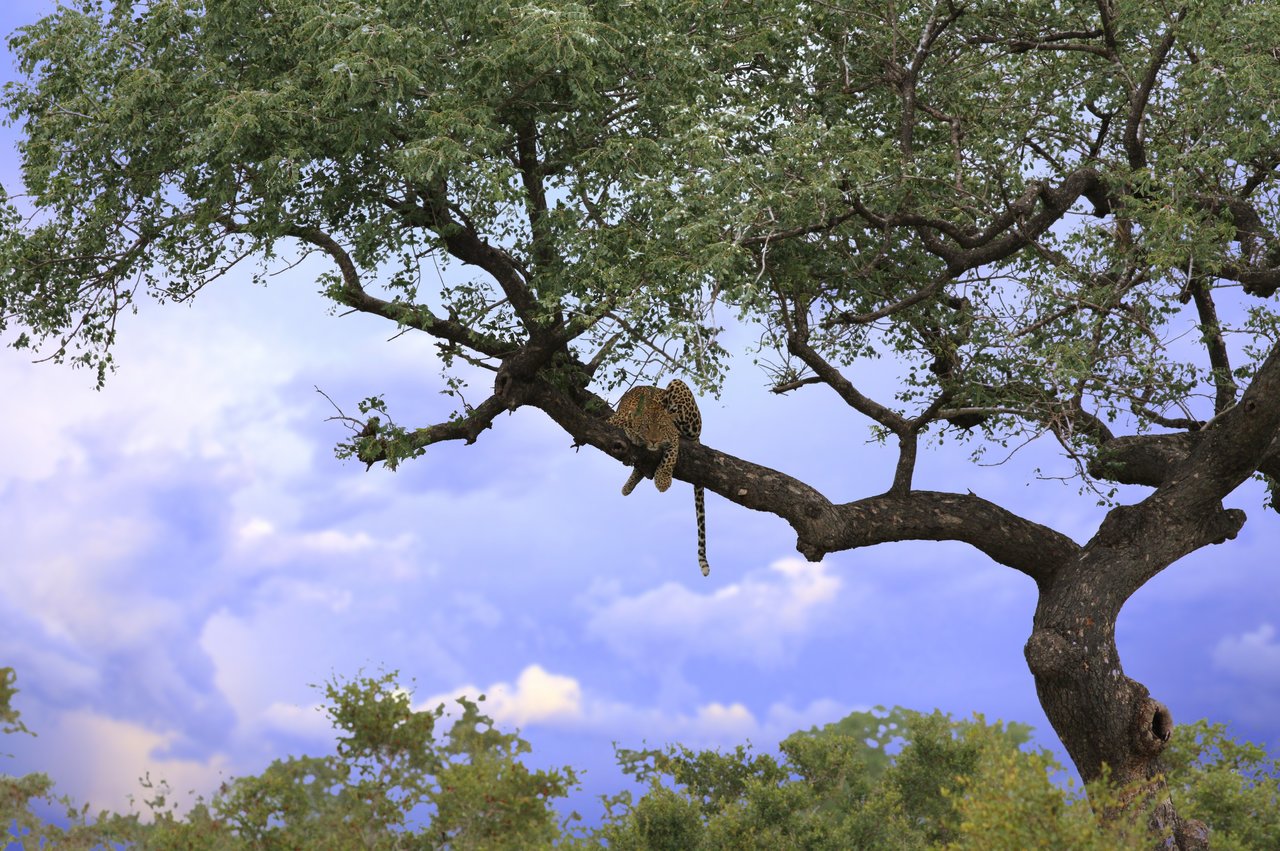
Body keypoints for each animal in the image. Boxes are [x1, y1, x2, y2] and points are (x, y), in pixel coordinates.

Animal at [608, 379, 711, 577]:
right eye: (646, 427)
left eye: (661, 428)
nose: (654, 441)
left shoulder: (672, 438)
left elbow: (669, 458)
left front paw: (663, 481)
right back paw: (628, 486)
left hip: (678, 386)